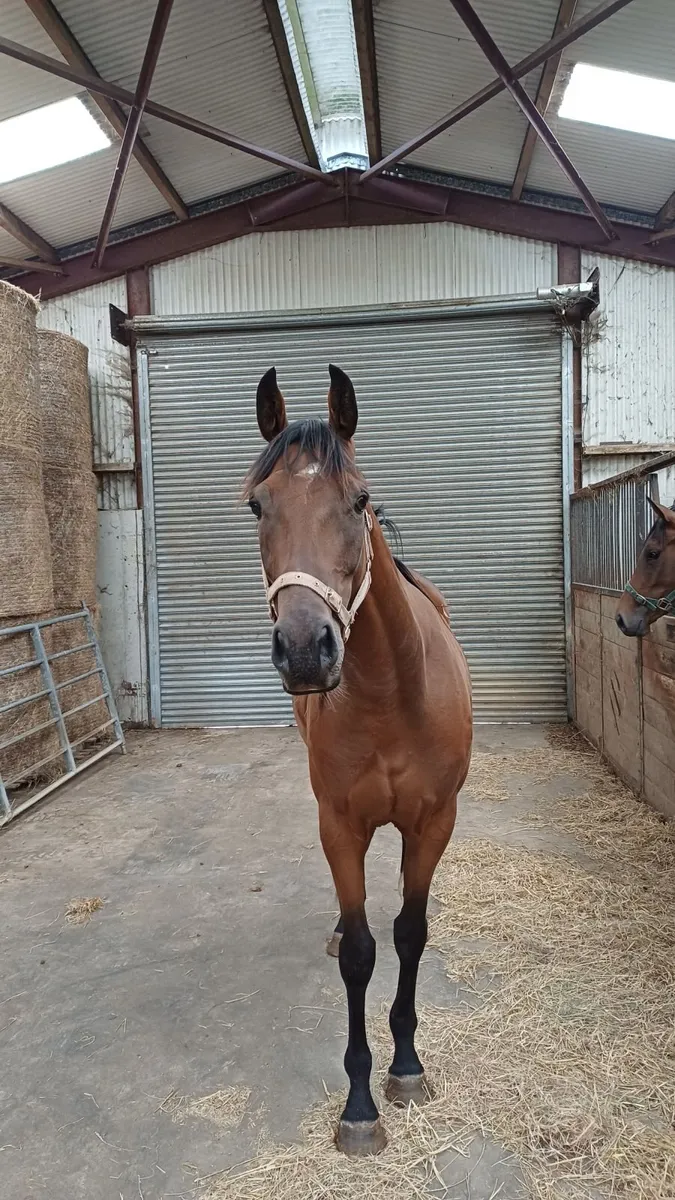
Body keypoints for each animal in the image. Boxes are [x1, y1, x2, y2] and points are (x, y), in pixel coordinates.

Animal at [243, 364, 473, 1156]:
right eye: (257, 504)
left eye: (359, 499)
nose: (306, 649)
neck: (389, 695)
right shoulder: (338, 823)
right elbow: (361, 956)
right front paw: (360, 1105)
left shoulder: (433, 823)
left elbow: (408, 932)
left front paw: (406, 1067)